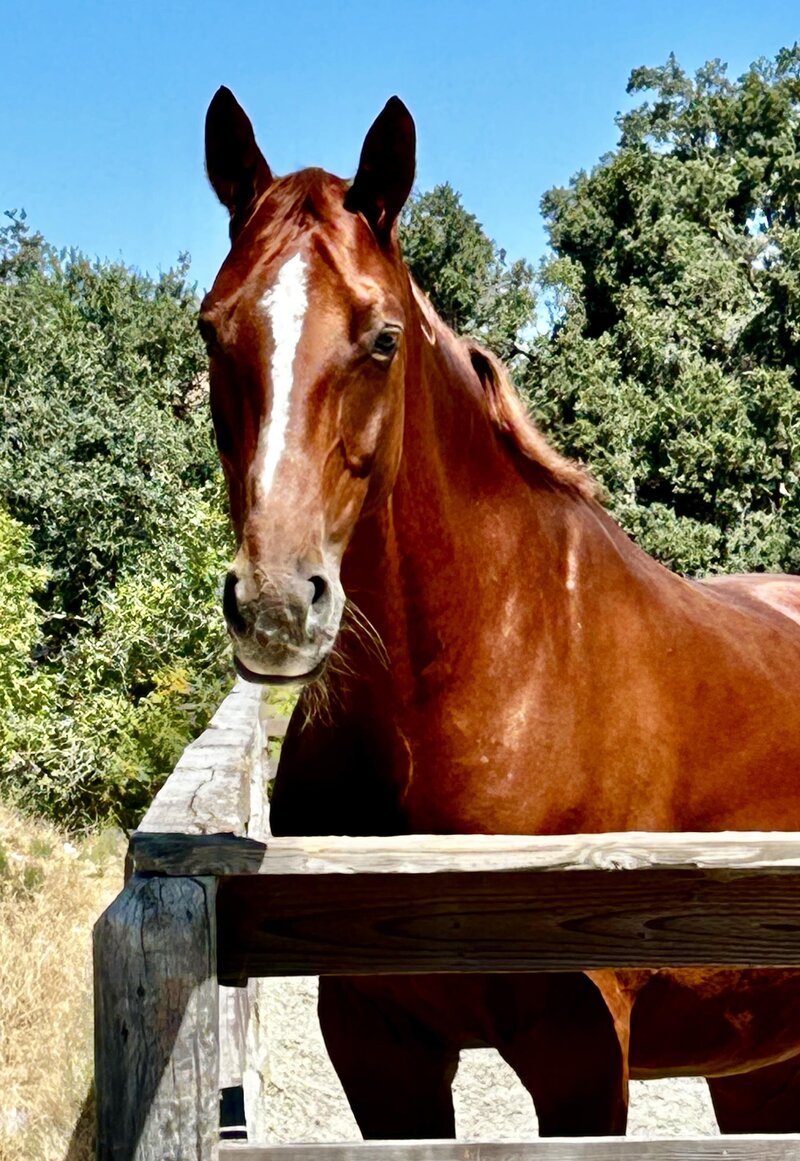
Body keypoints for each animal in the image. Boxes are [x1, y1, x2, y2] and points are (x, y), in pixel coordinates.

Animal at [201, 86, 800, 1139]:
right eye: (212, 330)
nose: (276, 603)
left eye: (382, 337)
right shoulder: (379, 1043)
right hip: (755, 1062)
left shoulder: (582, 1057)